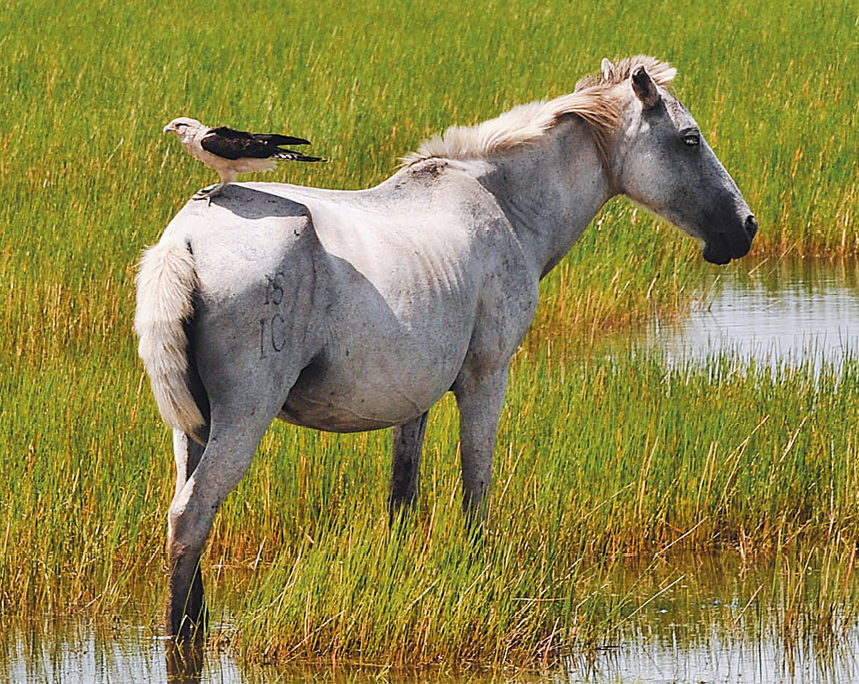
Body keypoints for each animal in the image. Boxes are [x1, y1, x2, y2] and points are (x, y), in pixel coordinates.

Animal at [136, 56, 760, 640]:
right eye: (689, 139)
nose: (746, 228)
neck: (502, 203)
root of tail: (184, 239)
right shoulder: (487, 378)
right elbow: (475, 487)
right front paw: (479, 569)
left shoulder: (412, 401)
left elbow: (402, 496)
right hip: (244, 417)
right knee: (190, 518)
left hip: (194, 427)